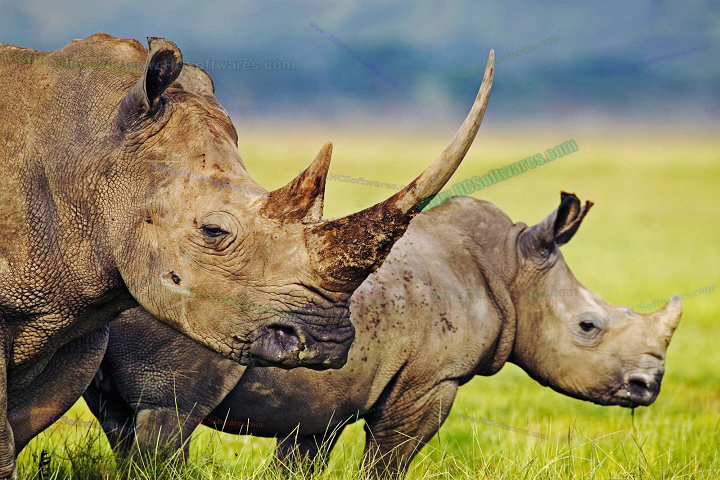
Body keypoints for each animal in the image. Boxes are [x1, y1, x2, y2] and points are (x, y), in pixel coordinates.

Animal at [84, 192, 682, 478]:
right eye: (588, 327)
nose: (647, 386)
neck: (512, 271)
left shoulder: (322, 398)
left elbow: (300, 458)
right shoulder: (431, 380)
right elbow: (389, 461)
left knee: (119, 419)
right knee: (168, 417)